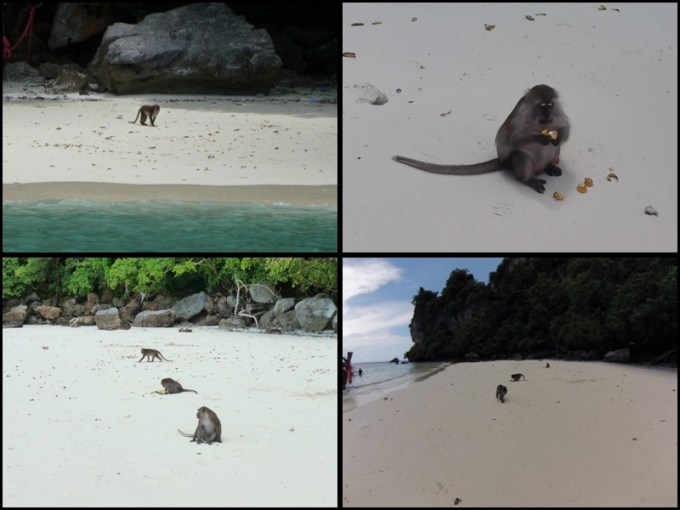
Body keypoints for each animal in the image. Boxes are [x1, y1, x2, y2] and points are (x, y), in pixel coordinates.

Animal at [393, 84, 570, 193]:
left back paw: (549, 166)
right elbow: (514, 140)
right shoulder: (521, 114)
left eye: (550, 105)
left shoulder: (557, 112)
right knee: (520, 155)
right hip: (514, 162)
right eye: (542, 106)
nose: (547, 115)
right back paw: (528, 180)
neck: (540, 122)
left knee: (556, 148)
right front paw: (541, 139)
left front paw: (557, 137)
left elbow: (565, 129)